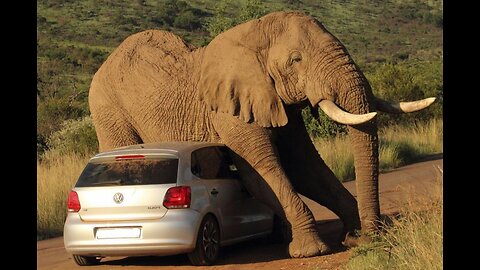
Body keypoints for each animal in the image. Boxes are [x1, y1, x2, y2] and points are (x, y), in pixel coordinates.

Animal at [88, 11, 436, 258]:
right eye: (296, 59)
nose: (374, 238)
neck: (253, 34)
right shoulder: (229, 111)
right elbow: (261, 175)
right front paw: (311, 251)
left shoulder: (277, 101)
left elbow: (305, 169)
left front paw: (352, 237)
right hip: (109, 110)